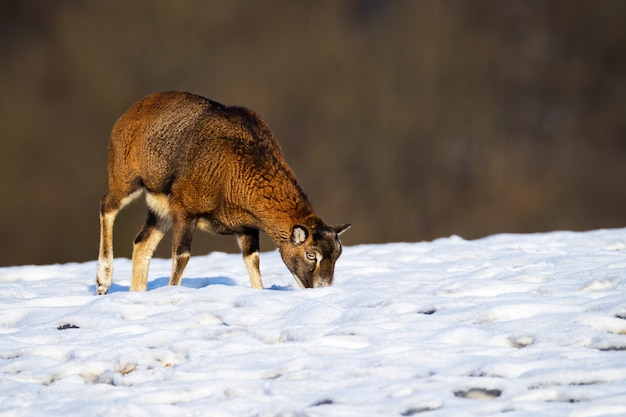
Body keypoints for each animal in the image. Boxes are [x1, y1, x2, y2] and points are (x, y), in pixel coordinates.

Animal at [95, 92, 348, 292]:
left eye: (338, 254)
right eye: (311, 255)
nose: (323, 288)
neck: (232, 172)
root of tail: (131, 112)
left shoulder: (246, 227)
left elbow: (253, 262)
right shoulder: (184, 210)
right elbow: (182, 257)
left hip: (160, 211)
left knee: (141, 244)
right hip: (126, 180)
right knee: (107, 207)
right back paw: (103, 282)